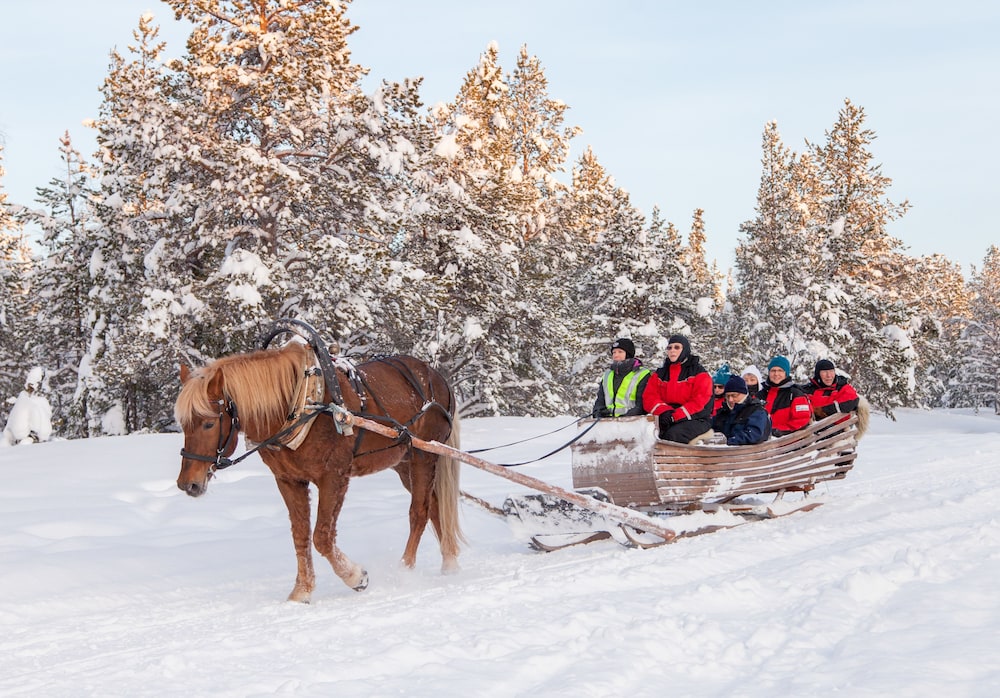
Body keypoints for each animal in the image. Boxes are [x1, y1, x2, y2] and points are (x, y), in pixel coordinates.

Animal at [174, 340, 462, 600]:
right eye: (184, 424)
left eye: (209, 424)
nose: (188, 484)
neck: (301, 404)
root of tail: (437, 377)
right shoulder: (289, 480)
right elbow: (300, 536)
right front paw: (301, 591)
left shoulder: (334, 476)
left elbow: (322, 536)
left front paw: (356, 577)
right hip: (403, 463)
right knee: (435, 506)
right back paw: (449, 564)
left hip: (425, 454)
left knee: (419, 512)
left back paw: (405, 570)